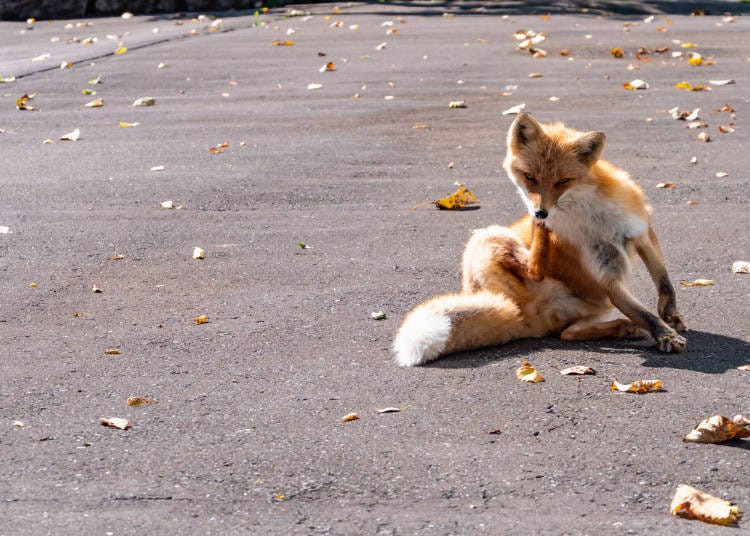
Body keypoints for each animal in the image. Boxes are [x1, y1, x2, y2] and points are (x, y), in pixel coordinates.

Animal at [396, 111, 692, 366]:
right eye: (530, 177)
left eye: (563, 181)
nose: (541, 211)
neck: (593, 216)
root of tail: (518, 316)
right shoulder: (606, 276)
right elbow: (643, 313)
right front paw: (665, 334)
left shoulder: (642, 233)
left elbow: (664, 283)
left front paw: (671, 317)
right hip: (488, 236)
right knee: (538, 276)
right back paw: (542, 236)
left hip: (596, 307)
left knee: (569, 333)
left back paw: (624, 328)